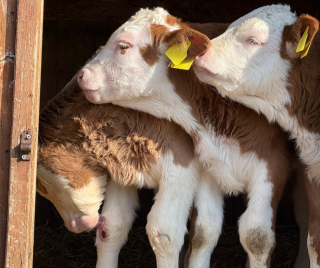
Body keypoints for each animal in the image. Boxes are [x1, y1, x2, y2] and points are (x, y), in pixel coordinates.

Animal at [37, 76, 202, 266]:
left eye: (44, 188)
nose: (75, 227)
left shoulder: (180, 163)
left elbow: (165, 233)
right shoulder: (122, 169)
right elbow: (113, 227)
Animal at [77, 7, 298, 266]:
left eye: (123, 45)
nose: (82, 74)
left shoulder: (273, 165)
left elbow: (257, 236)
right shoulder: (208, 168)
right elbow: (204, 231)